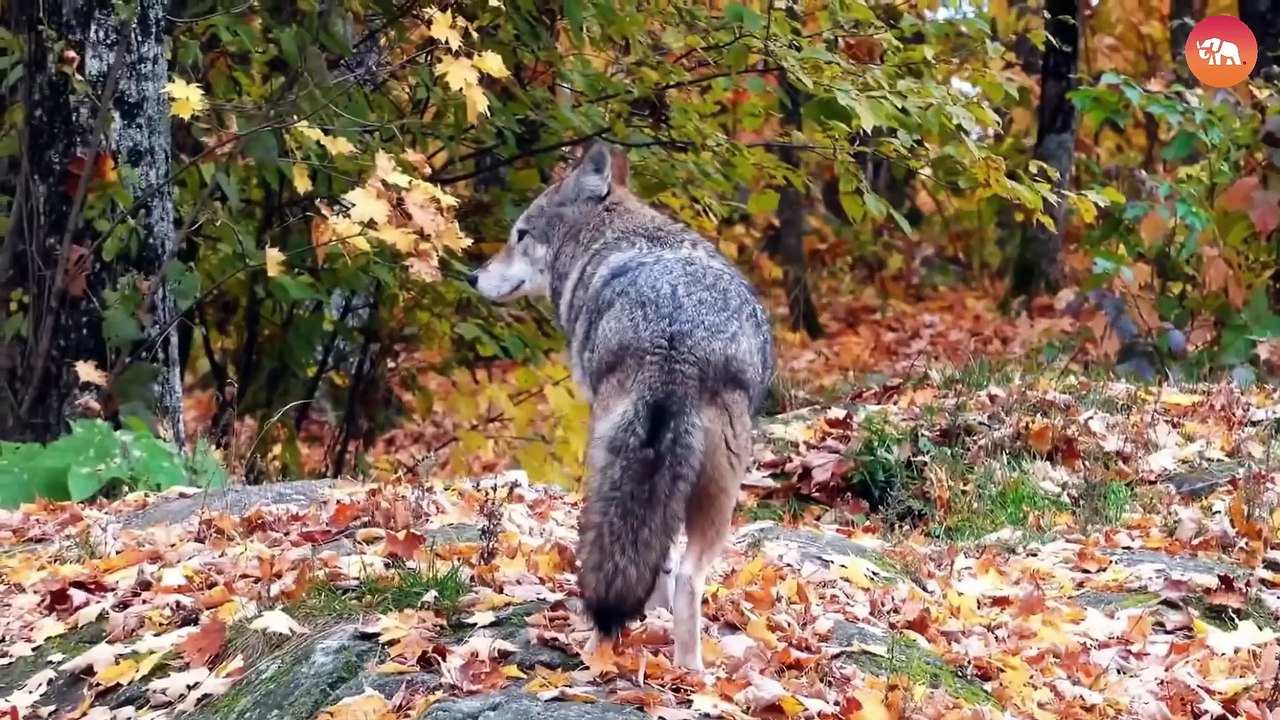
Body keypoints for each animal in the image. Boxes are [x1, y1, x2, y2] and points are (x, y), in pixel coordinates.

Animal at [466, 141, 775, 671]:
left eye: (520, 235)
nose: (472, 276)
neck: (612, 239)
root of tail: (677, 336)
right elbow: (662, 557)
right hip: (718, 488)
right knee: (688, 576)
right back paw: (691, 671)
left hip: (604, 462)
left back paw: (596, 655)